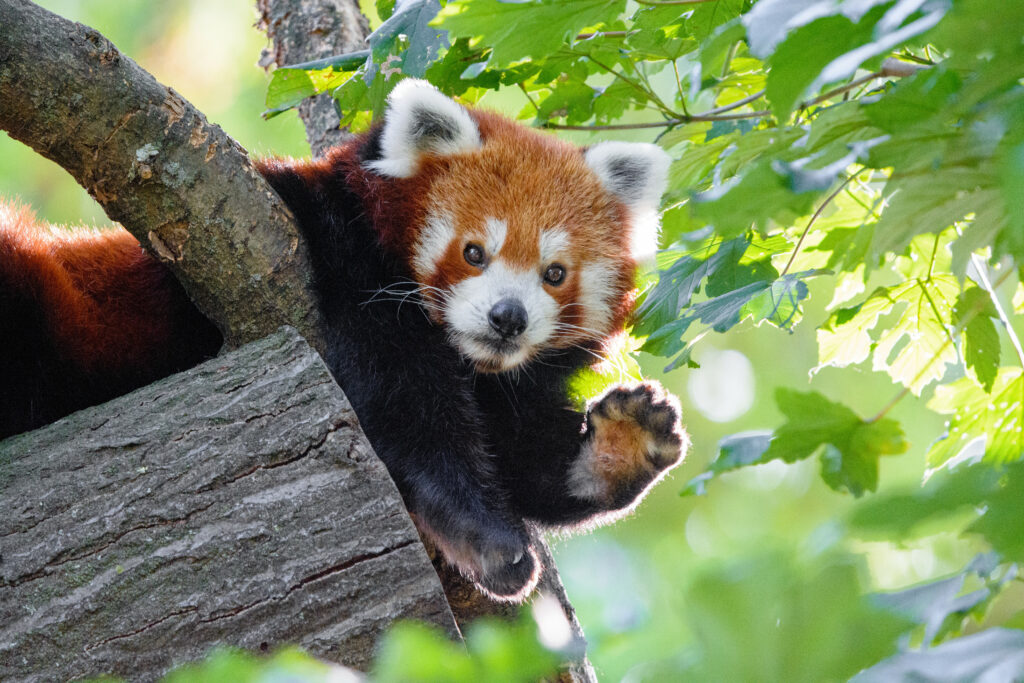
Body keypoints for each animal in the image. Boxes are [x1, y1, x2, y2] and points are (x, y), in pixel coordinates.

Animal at [0, 79, 688, 600]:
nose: (508, 318)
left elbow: (519, 453)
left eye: (554, 273)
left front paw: (621, 447)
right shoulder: (342, 260)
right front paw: (484, 537)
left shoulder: (498, 387)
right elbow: (407, 407)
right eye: (474, 252)